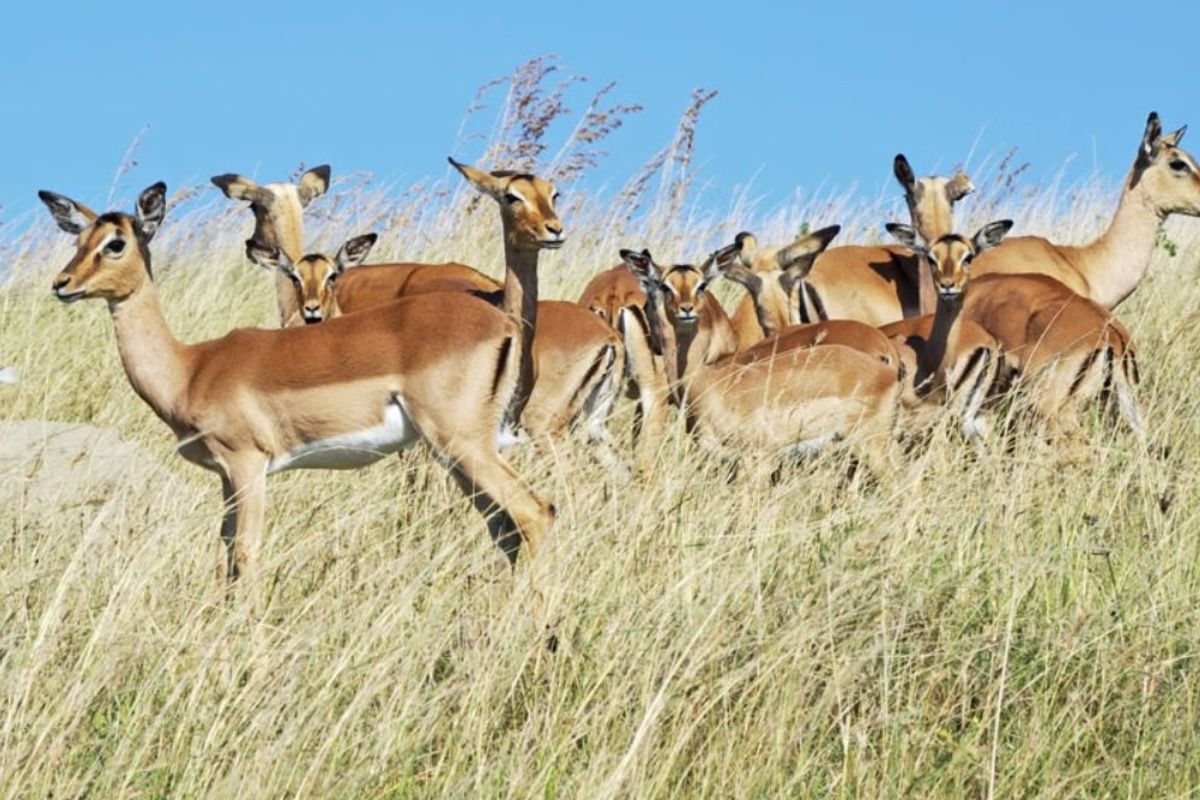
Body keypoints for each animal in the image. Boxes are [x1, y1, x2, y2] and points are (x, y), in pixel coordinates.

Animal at [39, 182, 555, 612]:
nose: (62, 285)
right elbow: (224, 553)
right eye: (78, 241)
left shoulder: (248, 466)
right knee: (506, 530)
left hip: (462, 445)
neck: (190, 367)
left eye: (115, 243)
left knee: (536, 513)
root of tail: (504, 323)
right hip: (457, 457)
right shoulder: (226, 478)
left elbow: (246, 554)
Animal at [619, 237, 901, 478]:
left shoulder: (758, 458)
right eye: (665, 286)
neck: (708, 382)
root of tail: (888, 366)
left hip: (870, 445)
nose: (685, 310)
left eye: (701, 284)